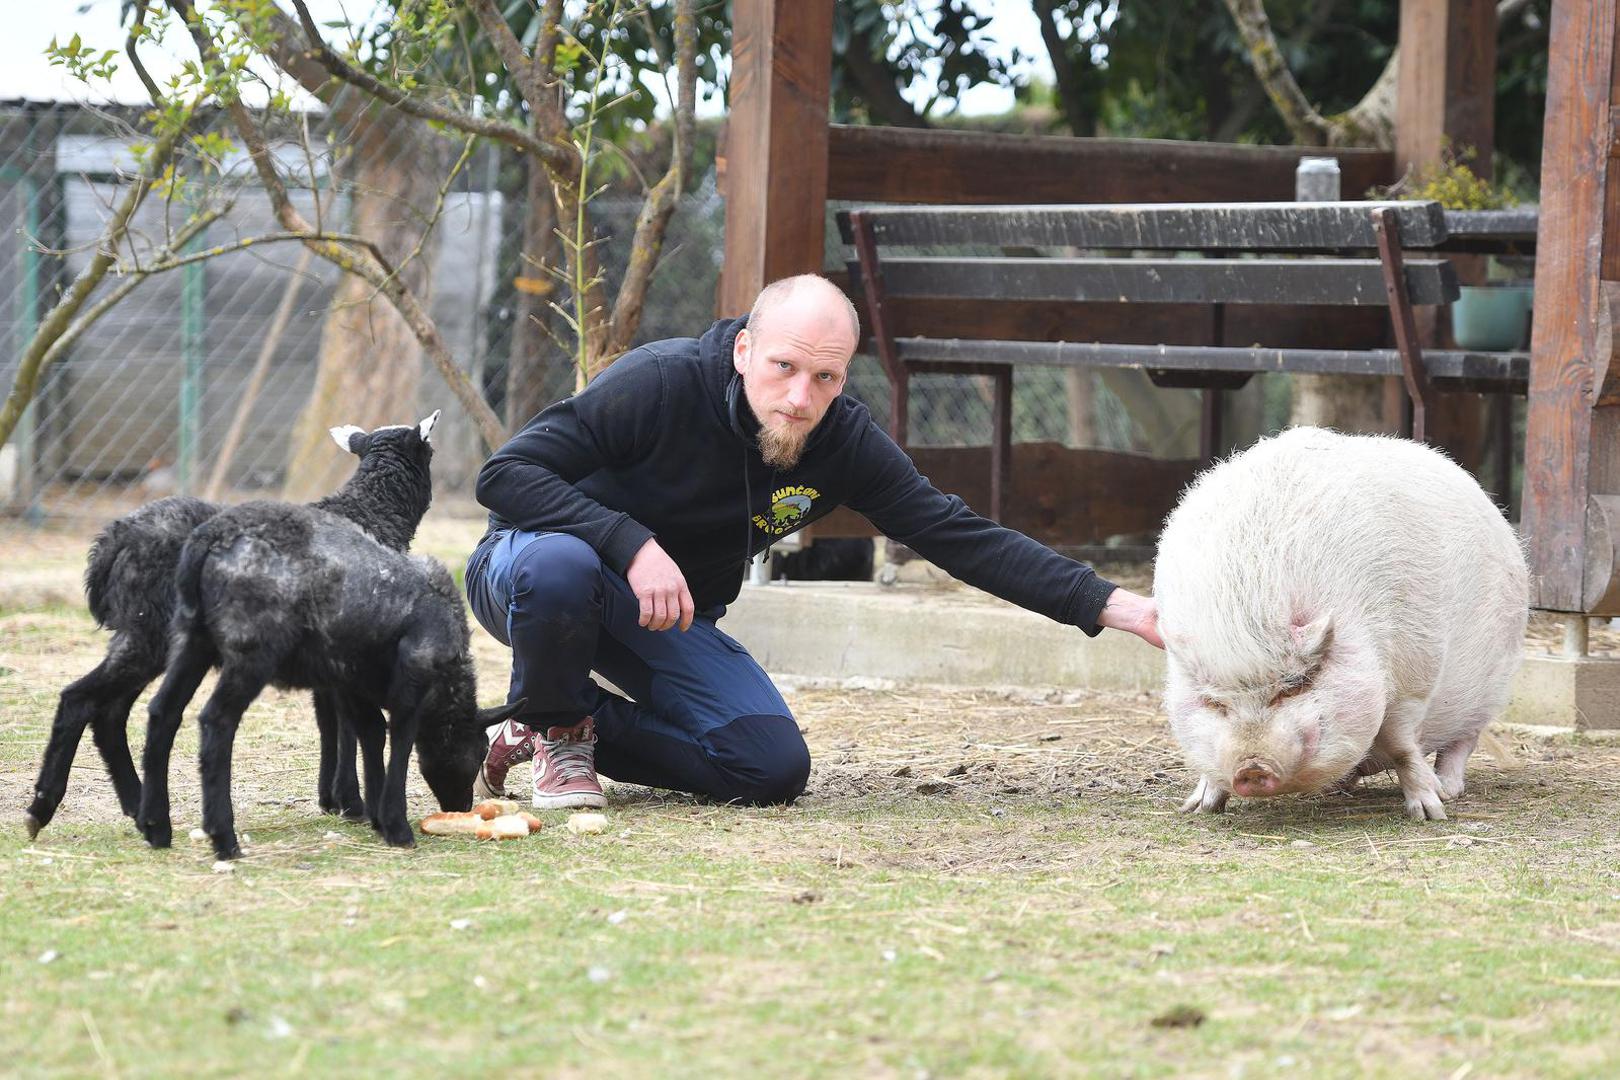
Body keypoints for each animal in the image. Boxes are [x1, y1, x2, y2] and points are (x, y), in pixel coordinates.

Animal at [25, 409, 443, 841]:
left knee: (110, 713)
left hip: (146, 636)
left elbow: (328, 723)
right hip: (150, 635)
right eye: (430, 452)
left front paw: (332, 800)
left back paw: (134, 804)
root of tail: (112, 542)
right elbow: (349, 726)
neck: (369, 512)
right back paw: (46, 806)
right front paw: (352, 802)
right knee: (81, 699)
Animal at [1159, 427, 1522, 822]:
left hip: (1493, 683)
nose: (1251, 768)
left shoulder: (1413, 678)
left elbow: (1401, 744)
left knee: (1463, 741)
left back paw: (1450, 789)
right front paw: (1197, 808)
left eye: (1295, 687)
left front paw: (1430, 813)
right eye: (1215, 703)